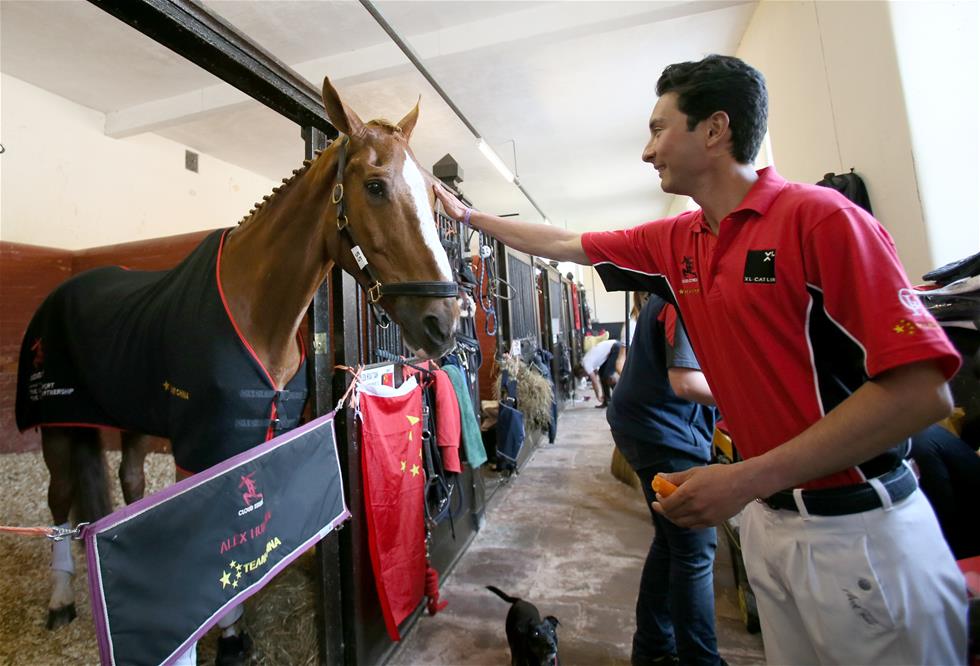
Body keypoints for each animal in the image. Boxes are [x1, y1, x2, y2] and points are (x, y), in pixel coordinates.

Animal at [15, 76, 460, 628]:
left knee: (129, 480)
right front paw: (228, 630)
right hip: (56, 422)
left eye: (434, 197)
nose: (445, 321)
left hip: (131, 418)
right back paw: (61, 599)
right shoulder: (206, 446)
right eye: (375, 186)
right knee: (59, 502)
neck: (259, 313)